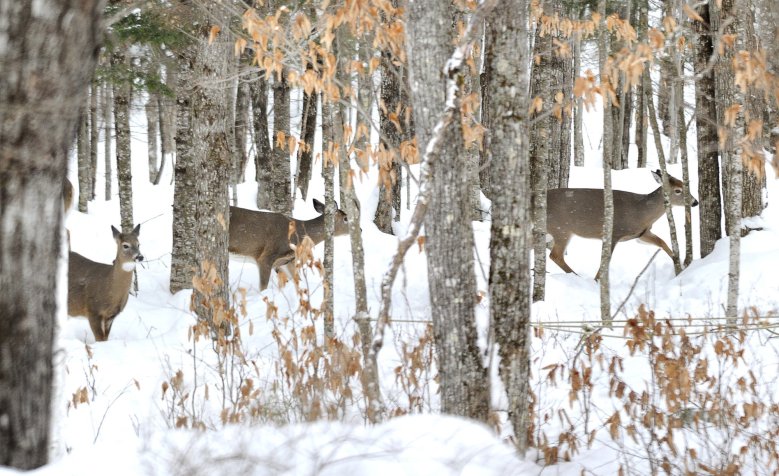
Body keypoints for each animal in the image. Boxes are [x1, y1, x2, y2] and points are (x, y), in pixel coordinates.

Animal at [545, 169, 698, 279]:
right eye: (678, 190)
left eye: (686, 185)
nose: (695, 202)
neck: (641, 212)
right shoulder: (614, 232)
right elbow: (606, 260)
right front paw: (597, 280)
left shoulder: (642, 233)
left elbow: (662, 242)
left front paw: (680, 265)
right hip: (562, 229)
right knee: (555, 255)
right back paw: (577, 277)